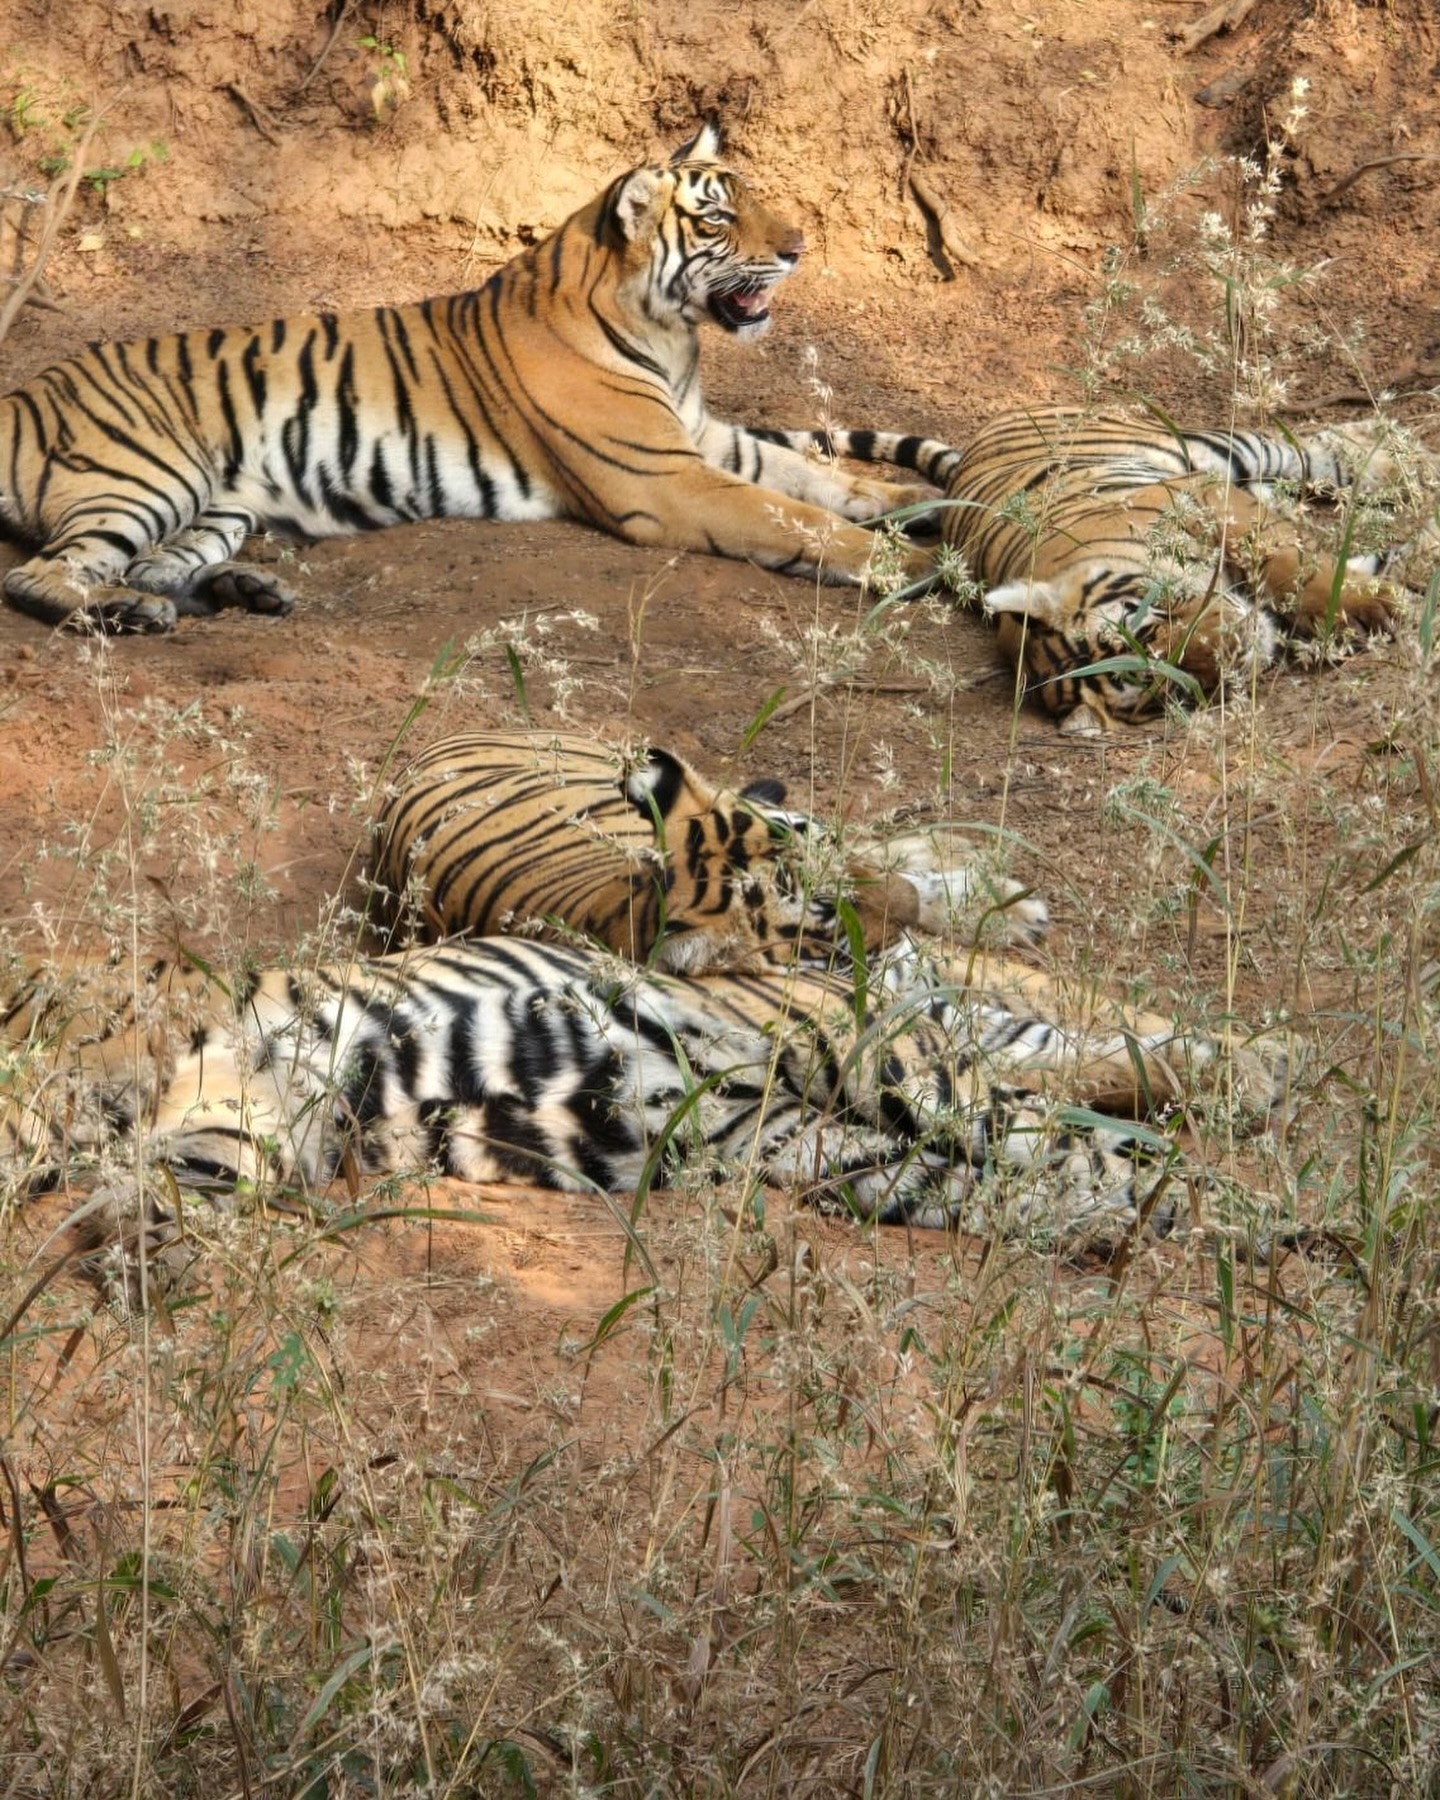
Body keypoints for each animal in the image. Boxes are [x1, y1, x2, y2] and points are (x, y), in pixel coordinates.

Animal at [0, 122, 933, 635]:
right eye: (717, 218)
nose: (799, 247)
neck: (673, 338)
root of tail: (24, 395)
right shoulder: (663, 476)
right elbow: (794, 516)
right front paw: (912, 565)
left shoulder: (702, 439)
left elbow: (820, 478)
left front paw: (921, 504)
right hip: (146, 475)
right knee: (46, 574)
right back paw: (128, 616)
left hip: (219, 504)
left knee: (151, 566)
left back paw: (244, 589)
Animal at [759, 407, 1408, 734]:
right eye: (1161, 689)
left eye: (1147, 625)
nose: (1234, 650)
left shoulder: (1201, 499)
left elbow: (1286, 560)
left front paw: (1367, 607)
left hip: (1198, 450)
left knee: (1303, 450)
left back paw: (1397, 460)